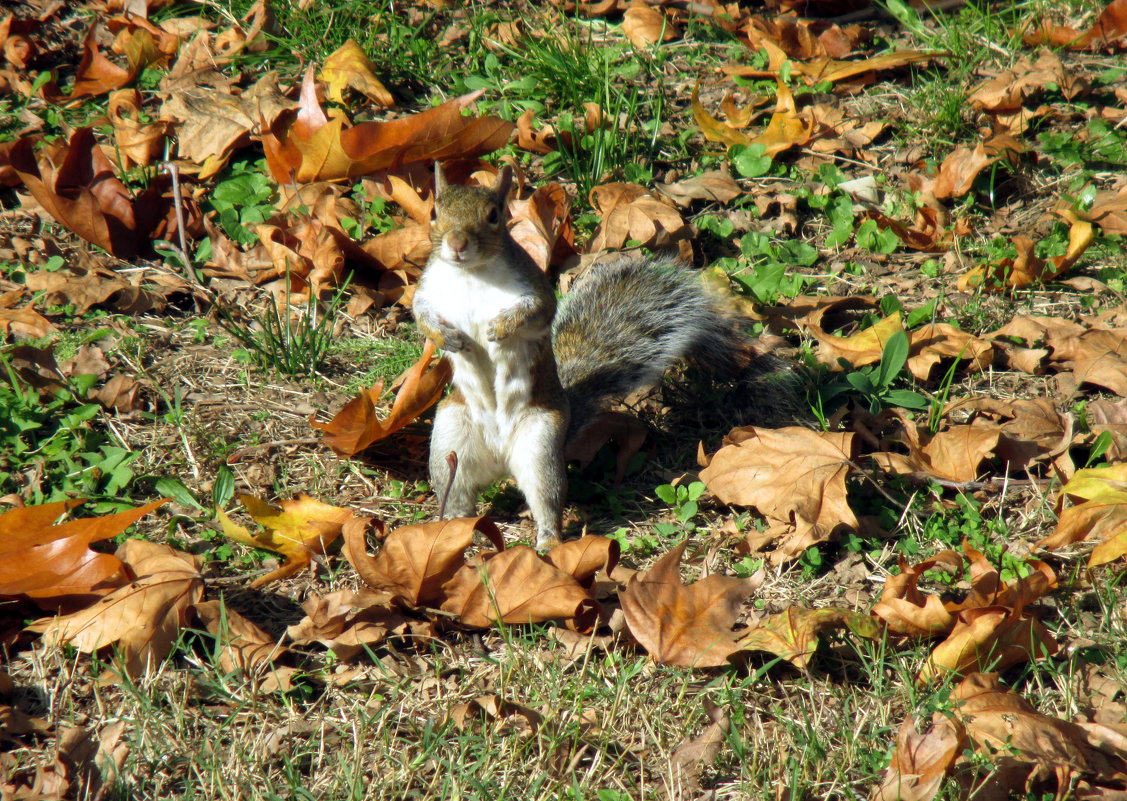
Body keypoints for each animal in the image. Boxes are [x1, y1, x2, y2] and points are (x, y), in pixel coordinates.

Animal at [410, 164, 788, 552]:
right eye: (435, 212)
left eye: (493, 215)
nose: (457, 245)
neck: (471, 274)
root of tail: (501, 460)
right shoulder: (427, 292)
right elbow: (421, 316)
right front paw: (449, 337)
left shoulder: (534, 290)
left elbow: (537, 312)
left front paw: (500, 328)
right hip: (450, 438)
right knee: (456, 489)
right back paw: (450, 528)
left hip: (540, 445)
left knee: (546, 498)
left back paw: (546, 541)